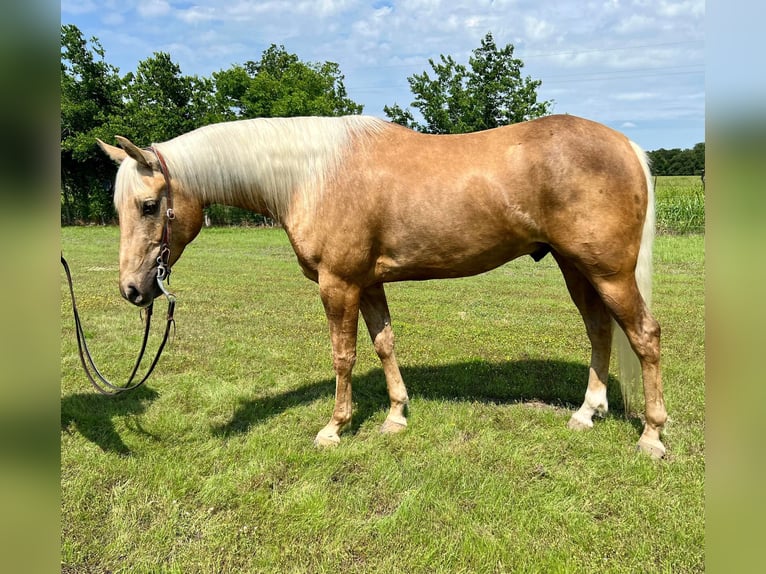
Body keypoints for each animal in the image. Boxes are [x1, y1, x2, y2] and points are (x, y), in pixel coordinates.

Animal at [100, 116, 664, 460]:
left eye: (148, 206)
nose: (133, 290)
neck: (311, 173)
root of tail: (626, 145)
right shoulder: (368, 284)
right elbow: (384, 344)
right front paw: (395, 416)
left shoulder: (339, 284)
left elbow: (343, 355)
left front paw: (335, 427)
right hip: (577, 267)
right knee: (600, 331)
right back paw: (587, 414)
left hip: (608, 272)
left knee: (644, 336)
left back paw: (653, 436)